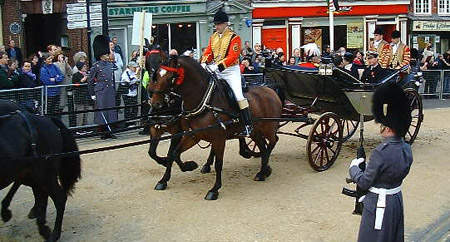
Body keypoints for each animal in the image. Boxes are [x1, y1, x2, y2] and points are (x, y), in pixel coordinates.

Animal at [0, 99, 81, 240]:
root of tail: (46, 119)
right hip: (33, 173)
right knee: (40, 193)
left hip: (43, 173)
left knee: (57, 198)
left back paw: (52, 233)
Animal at [148, 55, 282, 199]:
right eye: (156, 76)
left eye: (171, 77)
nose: (155, 104)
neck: (205, 101)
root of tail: (271, 90)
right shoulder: (192, 135)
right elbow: (173, 153)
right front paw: (183, 169)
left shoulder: (218, 138)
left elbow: (218, 163)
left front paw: (214, 189)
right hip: (255, 132)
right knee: (263, 146)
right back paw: (263, 171)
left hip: (268, 127)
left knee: (273, 141)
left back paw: (264, 169)